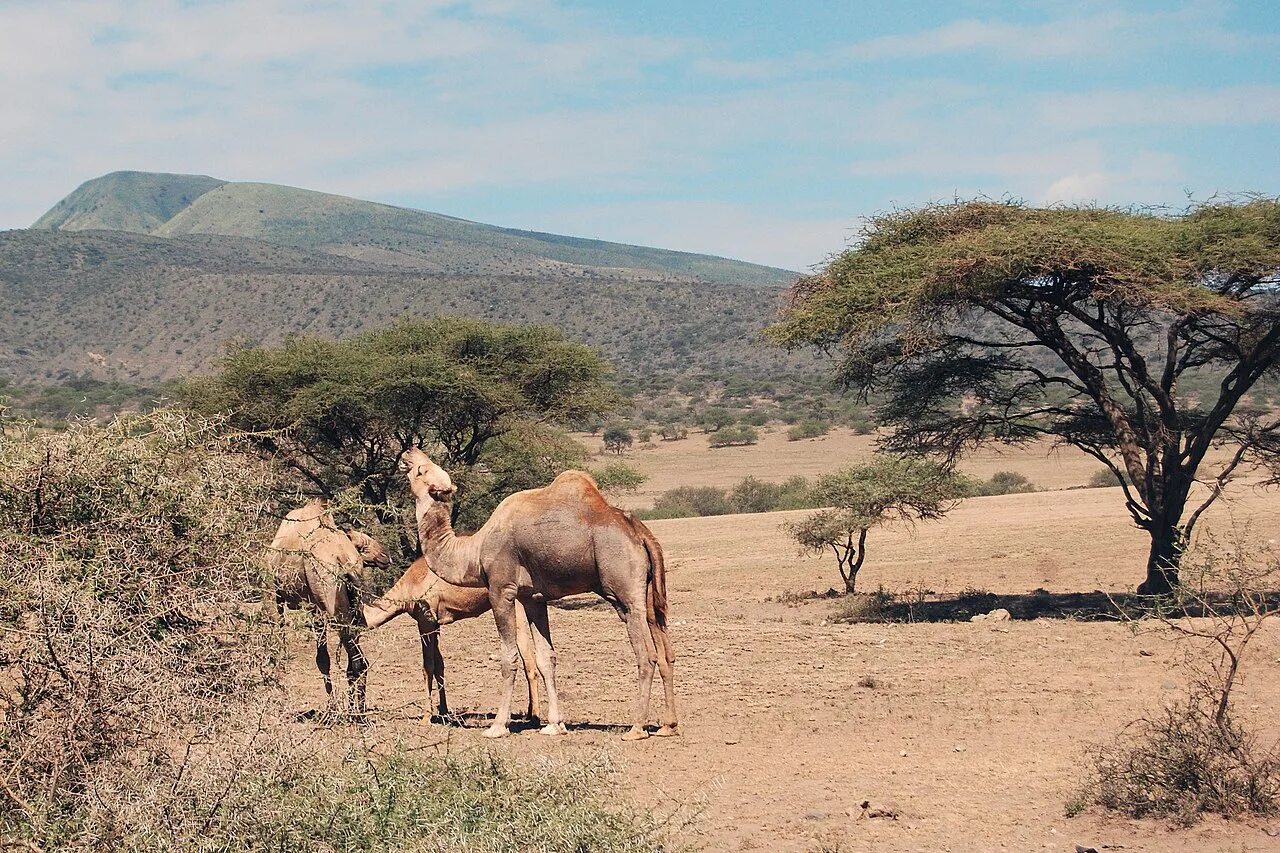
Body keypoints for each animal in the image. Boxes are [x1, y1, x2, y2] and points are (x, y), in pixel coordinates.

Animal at [267, 499, 386, 717]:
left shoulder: (283, 597)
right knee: (358, 661)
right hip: (351, 609)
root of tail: (344, 561)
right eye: (362, 545)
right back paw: (358, 711)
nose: (385, 556)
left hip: (330, 603)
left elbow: (318, 657)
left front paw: (331, 709)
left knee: (355, 660)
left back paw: (352, 713)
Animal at [363, 558, 542, 722]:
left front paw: (426, 718)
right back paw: (528, 713)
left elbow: (427, 666)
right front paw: (443, 711)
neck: (409, 586)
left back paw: (534, 716)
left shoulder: (425, 621)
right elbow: (439, 666)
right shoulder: (435, 624)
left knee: (528, 658)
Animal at [396, 445, 680, 737]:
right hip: (649, 594)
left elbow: (509, 657)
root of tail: (641, 533)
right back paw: (668, 725)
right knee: (665, 648)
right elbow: (546, 657)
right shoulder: (532, 597)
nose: (409, 450)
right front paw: (555, 724)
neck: (474, 550)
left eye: (423, 470)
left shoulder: (501, 590)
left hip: (625, 592)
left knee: (646, 654)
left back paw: (636, 728)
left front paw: (498, 725)